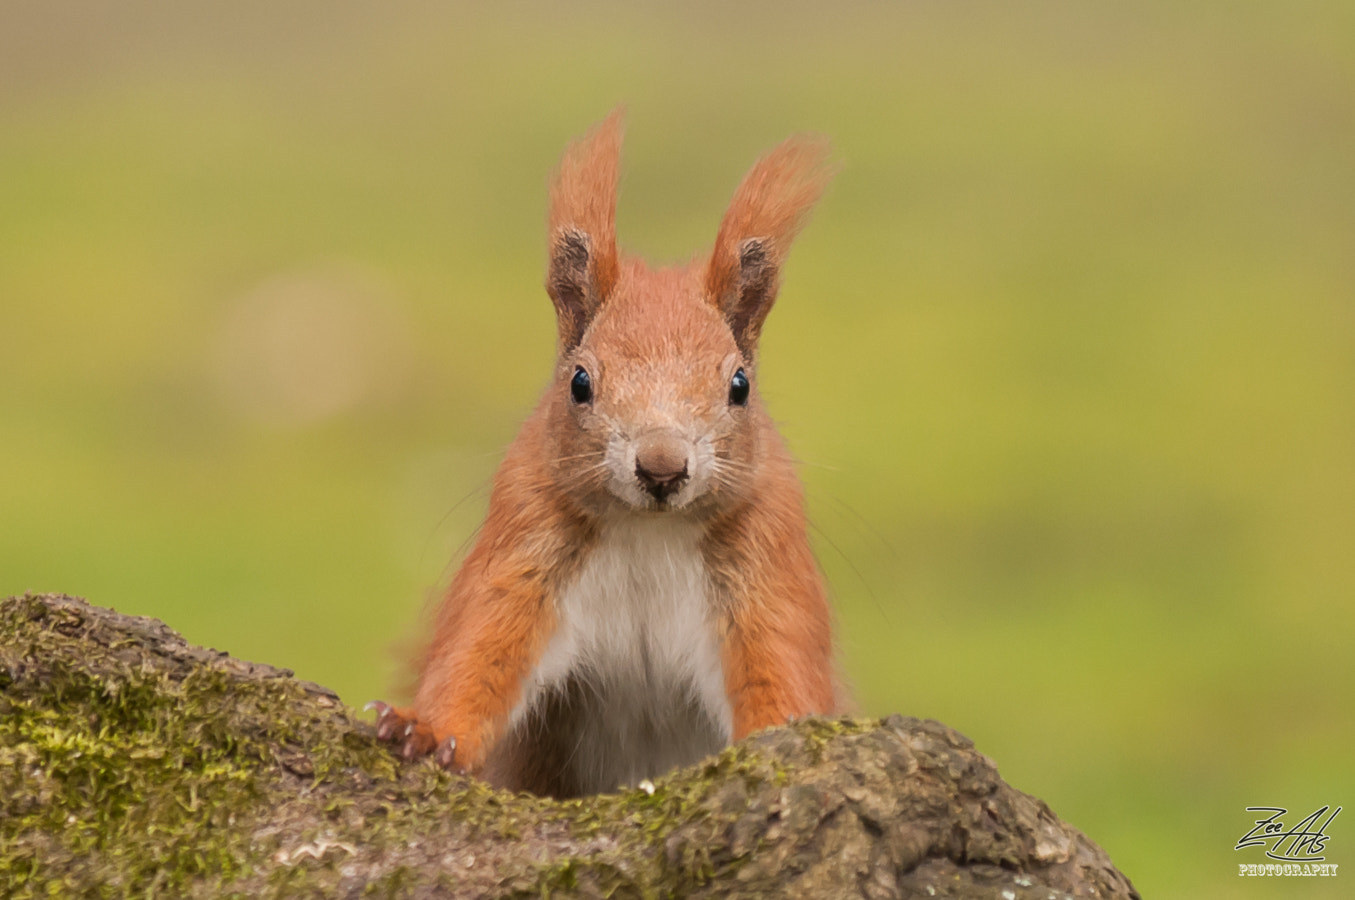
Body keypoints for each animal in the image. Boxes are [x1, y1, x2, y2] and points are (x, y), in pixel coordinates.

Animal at [369, 110, 841, 799]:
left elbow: (777, 664)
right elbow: (482, 647)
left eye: (739, 386)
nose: (662, 468)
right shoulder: (527, 543)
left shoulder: (764, 565)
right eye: (579, 382)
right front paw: (424, 731)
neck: (648, 530)